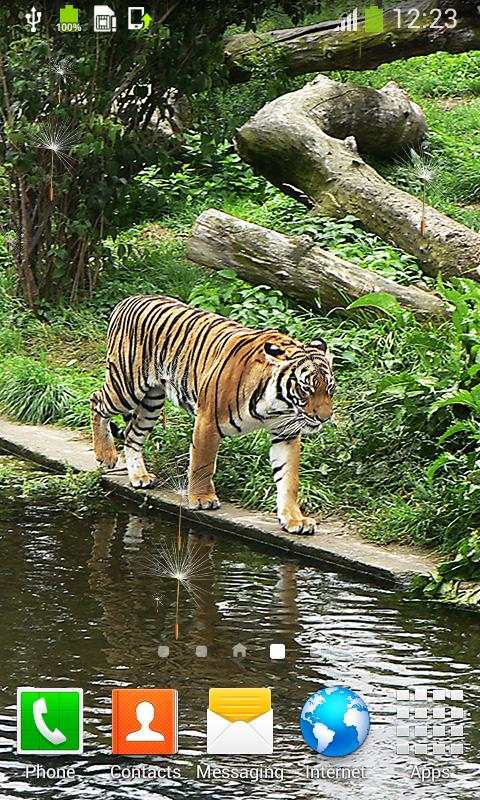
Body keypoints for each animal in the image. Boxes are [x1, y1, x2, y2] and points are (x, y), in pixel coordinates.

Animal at [91, 295, 335, 535]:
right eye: (306, 389)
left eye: (330, 389)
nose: (324, 418)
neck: (278, 404)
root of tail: (128, 300)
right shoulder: (207, 421)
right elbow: (203, 463)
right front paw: (202, 499)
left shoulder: (286, 433)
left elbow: (288, 478)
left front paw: (294, 519)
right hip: (126, 387)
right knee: (96, 400)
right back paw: (106, 454)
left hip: (152, 400)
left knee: (132, 435)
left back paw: (139, 476)